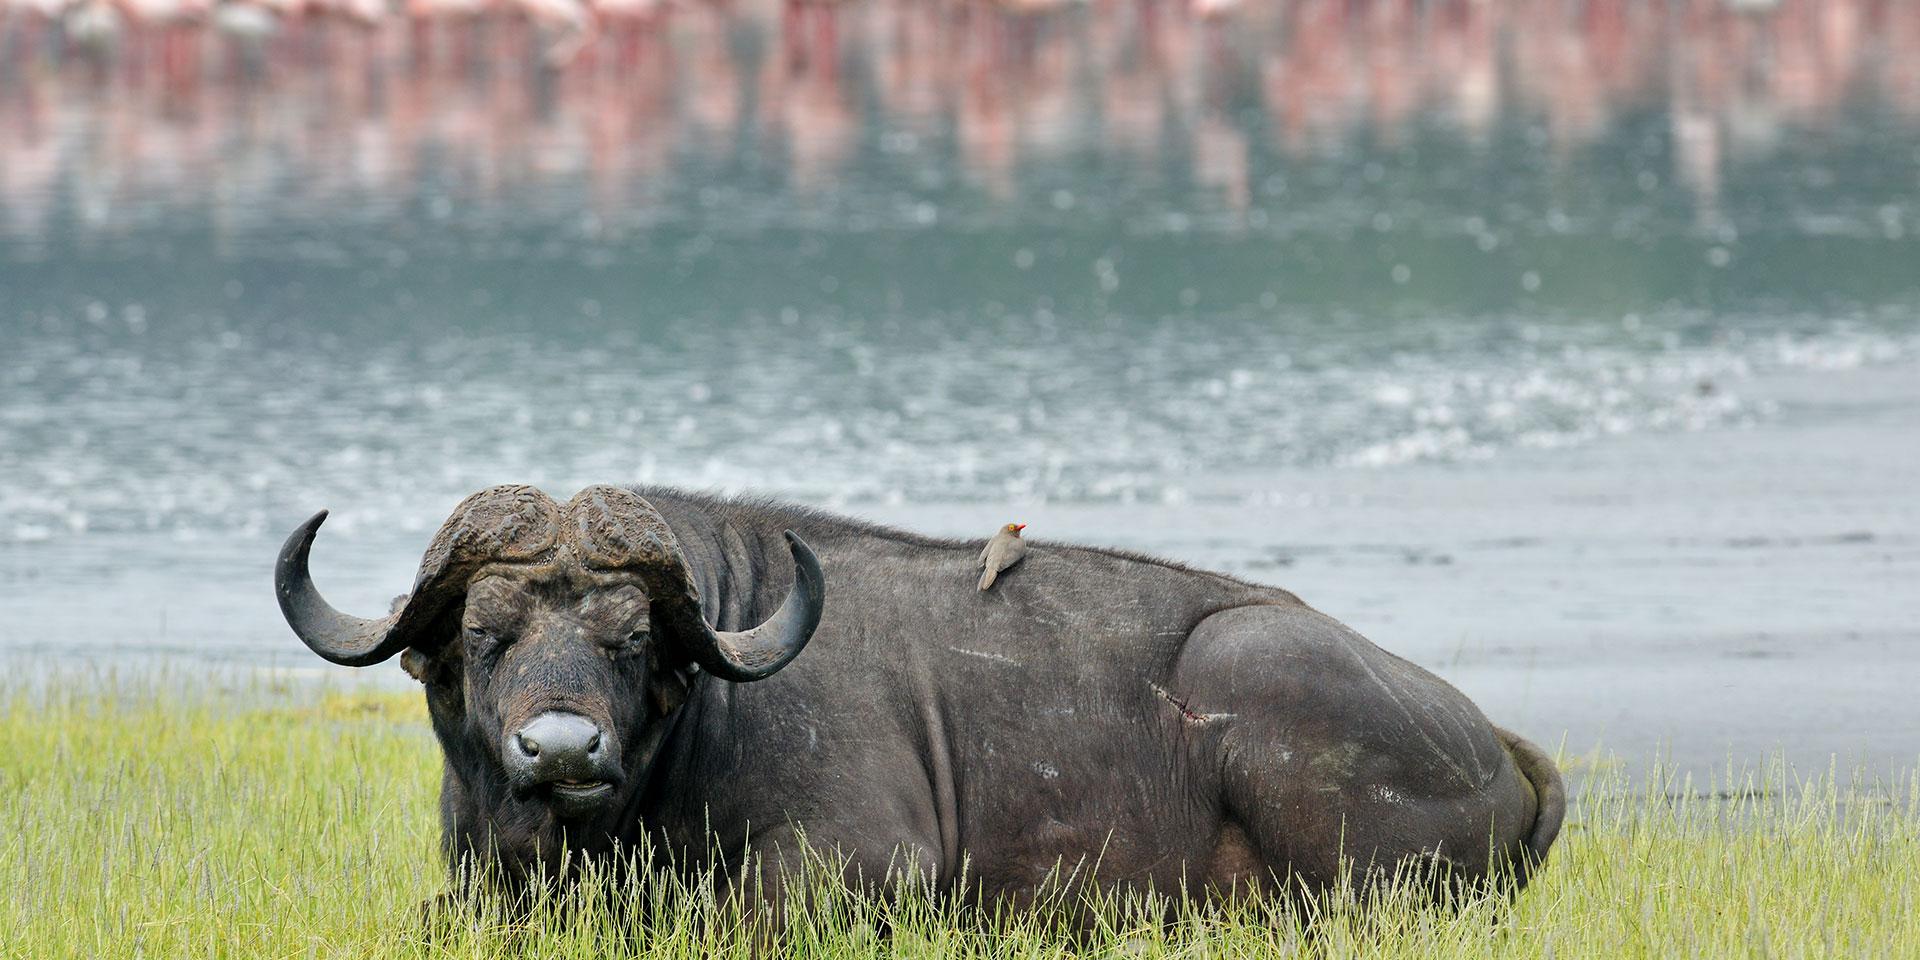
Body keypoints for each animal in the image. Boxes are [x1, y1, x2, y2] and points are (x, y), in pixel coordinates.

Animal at [278, 483, 1566, 910]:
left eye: (633, 638)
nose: (560, 750)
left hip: (1258, 675)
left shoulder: (861, 870)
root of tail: (1493, 744)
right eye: (484, 634)